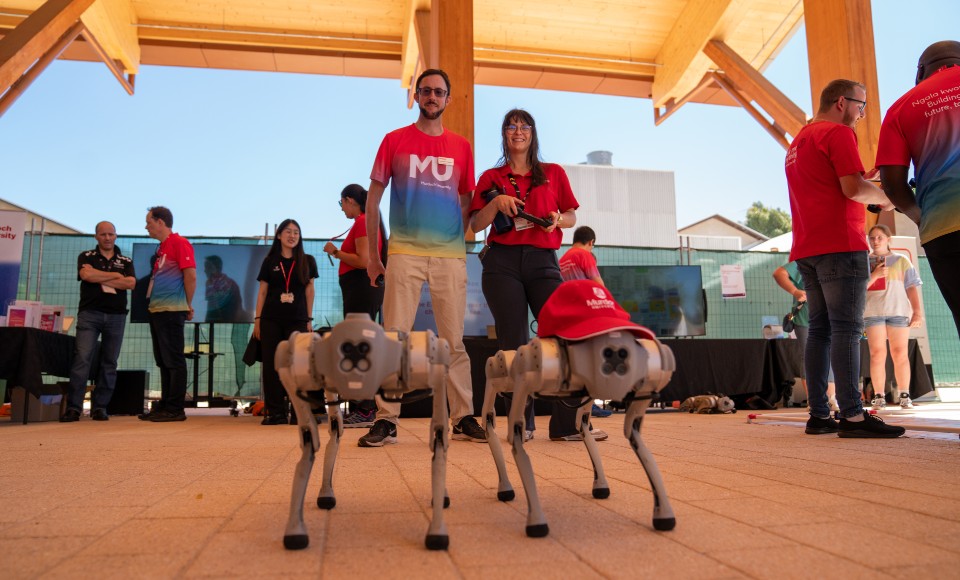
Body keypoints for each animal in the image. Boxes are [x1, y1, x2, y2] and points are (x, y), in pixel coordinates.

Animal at [270, 314, 450, 552]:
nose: (354, 354)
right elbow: (311, 441)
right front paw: (295, 529)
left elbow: (438, 437)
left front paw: (437, 531)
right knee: (333, 430)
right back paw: (325, 492)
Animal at [484, 278, 680, 536]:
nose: (617, 354)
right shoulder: (525, 378)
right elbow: (515, 437)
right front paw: (536, 520)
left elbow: (633, 432)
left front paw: (663, 513)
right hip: (500, 372)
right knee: (488, 414)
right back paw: (504, 486)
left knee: (582, 422)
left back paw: (600, 482)